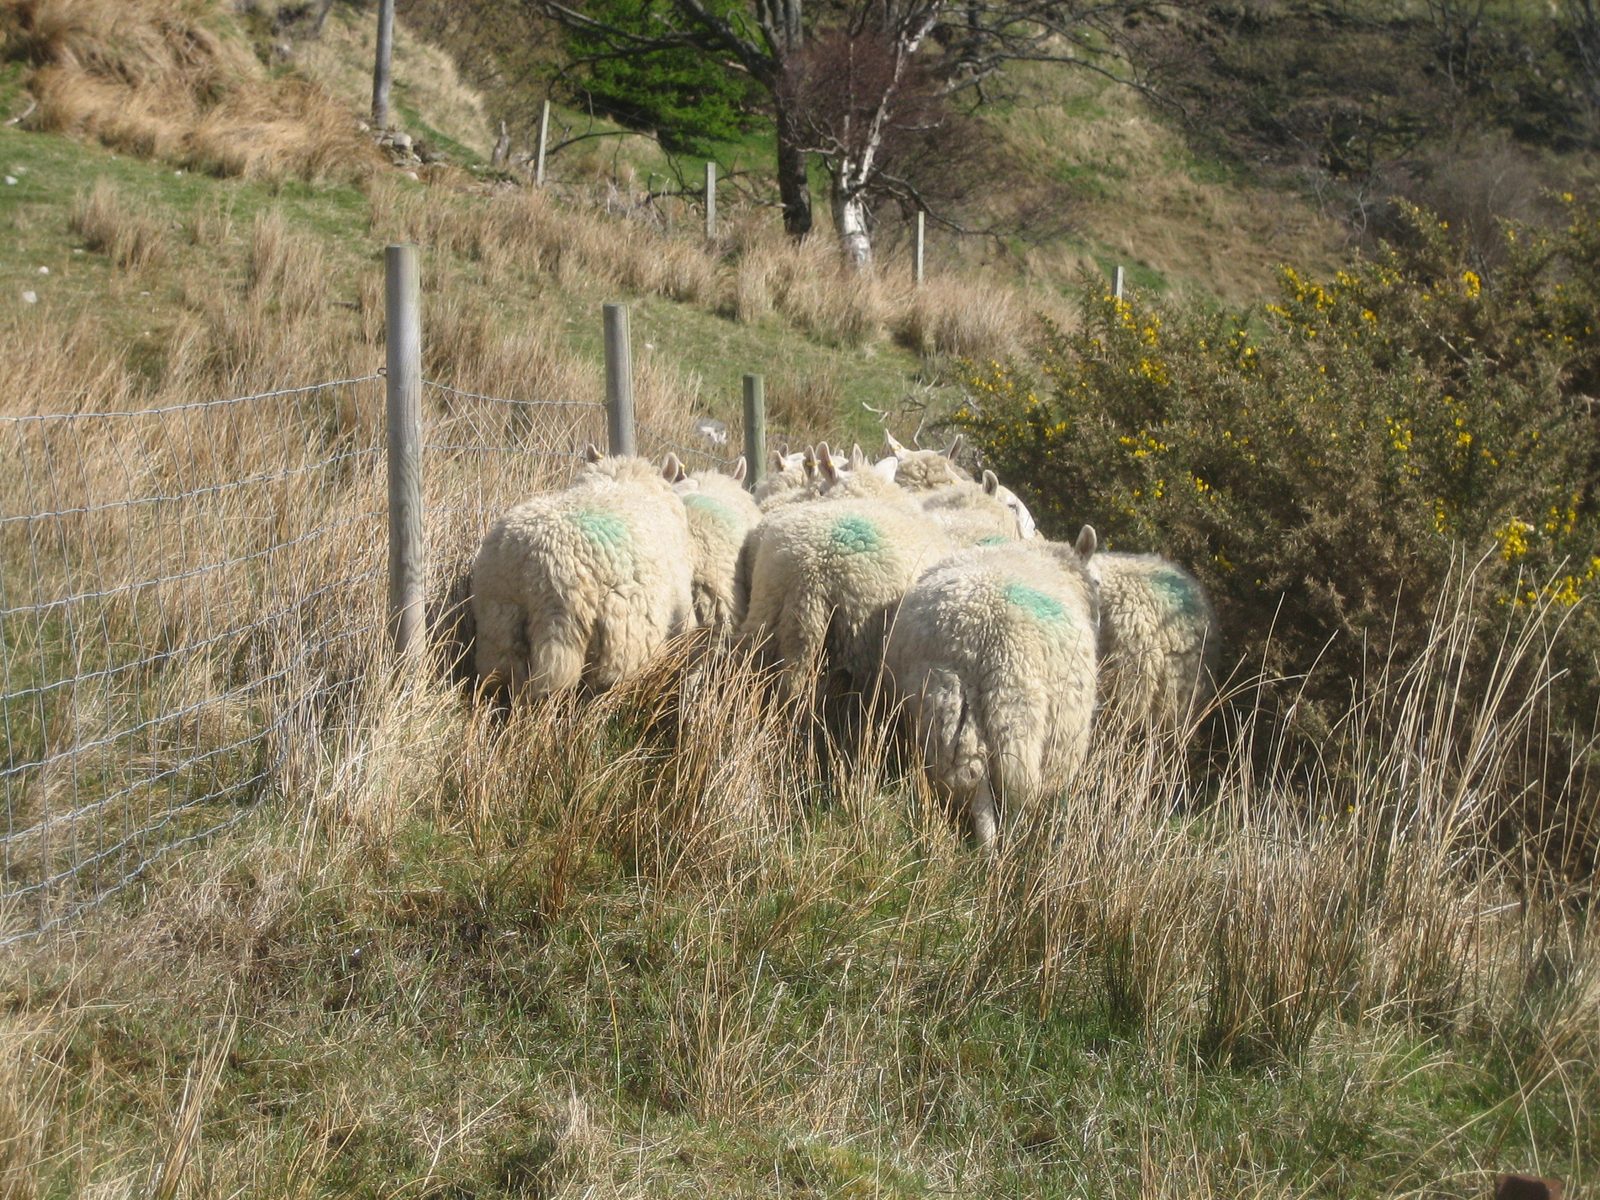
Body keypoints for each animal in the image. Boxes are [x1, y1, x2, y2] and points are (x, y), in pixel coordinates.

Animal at [884, 527, 1101, 848]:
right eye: (1098, 582)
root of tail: (982, 635)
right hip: (1021, 712)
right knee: (1017, 794)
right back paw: (1011, 847)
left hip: (949, 708)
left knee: (977, 790)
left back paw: (988, 853)